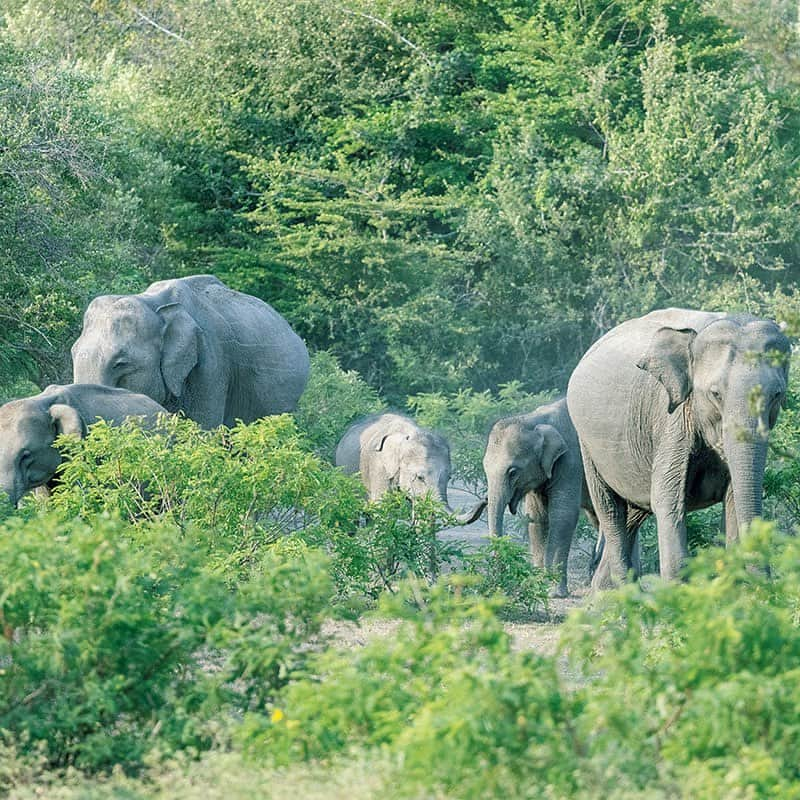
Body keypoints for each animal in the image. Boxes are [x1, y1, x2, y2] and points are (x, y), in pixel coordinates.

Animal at [564, 310, 792, 592]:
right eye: (715, 394)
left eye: (777, 395)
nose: (767, 583)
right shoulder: (670, 417)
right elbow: (667, 496)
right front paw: (679, 593)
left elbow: (733, 499)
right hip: (587, 445)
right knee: (610, 508)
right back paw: (621, 593)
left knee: (633, 514)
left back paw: (604, 590)